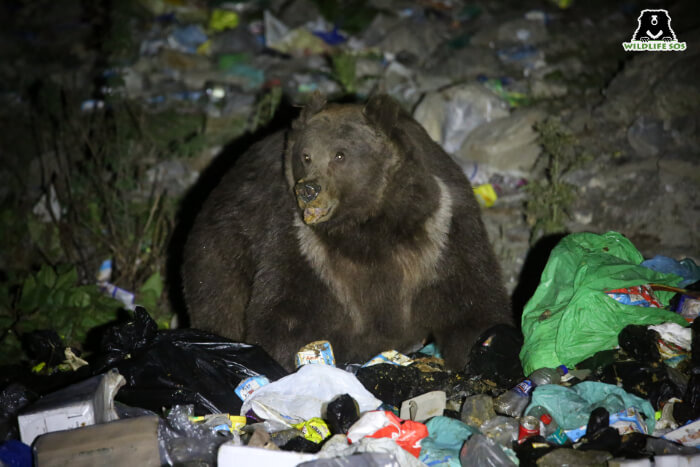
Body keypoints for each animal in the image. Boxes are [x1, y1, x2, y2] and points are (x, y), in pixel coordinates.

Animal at [180, 94, 512, 370]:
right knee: (218, 292)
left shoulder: (441, 228)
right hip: (224, 238)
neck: (368, 224)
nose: (309, 190)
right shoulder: (303, 245)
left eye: (340, 155)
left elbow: (470, 297)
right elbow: (287, 309)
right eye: (306, 155)